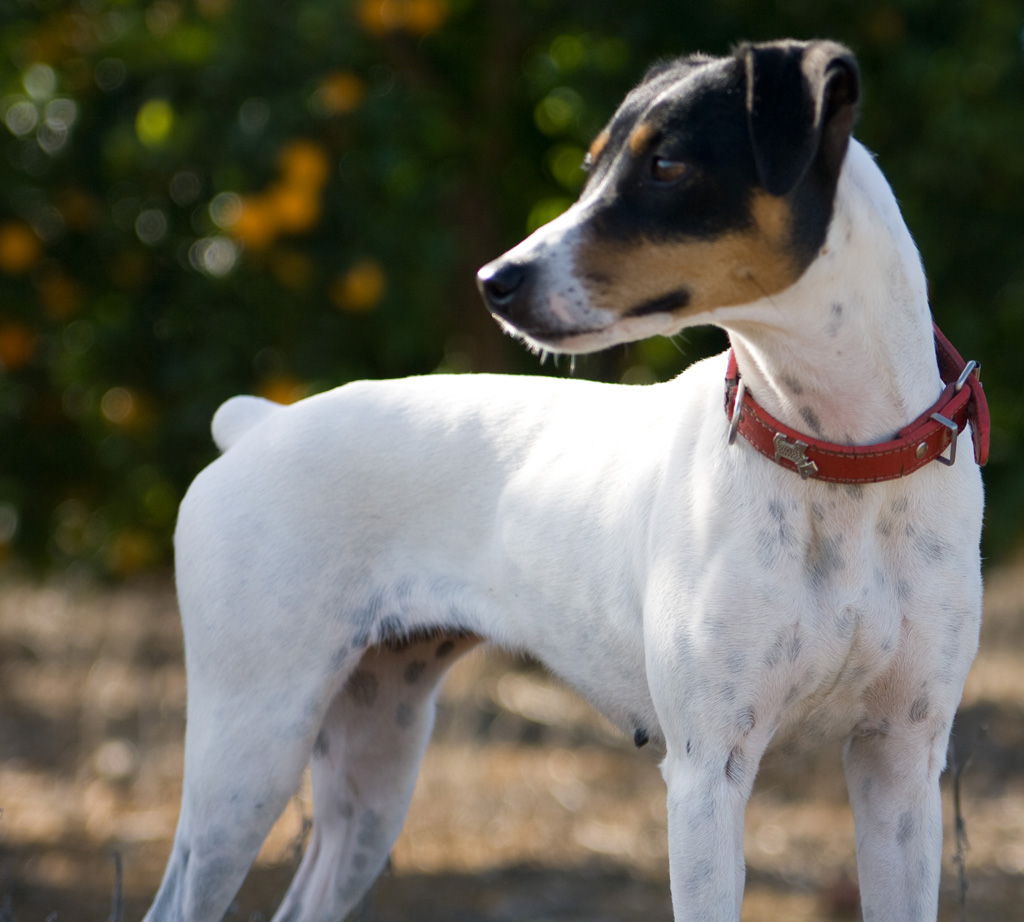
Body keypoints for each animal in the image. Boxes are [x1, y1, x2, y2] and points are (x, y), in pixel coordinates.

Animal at [144, 37, 983, 922]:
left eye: (666, 164)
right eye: (590, 166)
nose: (495, 280)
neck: (835, 460)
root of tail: (256, 427)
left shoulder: (901, 763)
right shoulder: (707, 775)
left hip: (376, 757)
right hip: (252, 743)